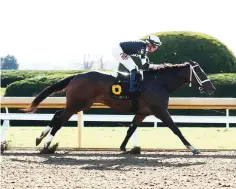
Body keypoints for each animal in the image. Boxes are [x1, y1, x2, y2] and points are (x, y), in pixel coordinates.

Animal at [24, 60, 216, 155]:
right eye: (200, 72)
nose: (211, 88)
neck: (159, 83)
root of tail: (76, 76)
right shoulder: (160, 110)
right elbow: (176, 128)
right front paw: (193, 148)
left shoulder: (142, 112)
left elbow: (130, 129)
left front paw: (124, 148)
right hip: (78, 104)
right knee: (59, 121)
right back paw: (46, 146)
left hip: (76, 104)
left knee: (57, 114)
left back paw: (40, 138)